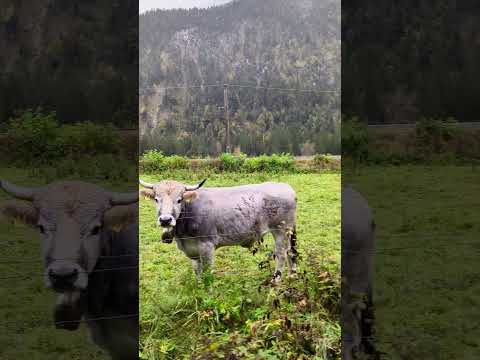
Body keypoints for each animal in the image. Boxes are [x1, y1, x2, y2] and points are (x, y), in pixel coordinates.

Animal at [139, 179, 298, 282]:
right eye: (156, 199)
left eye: (179, 200)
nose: (165, 220)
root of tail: (286, 187)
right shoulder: (192, 251)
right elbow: (197, 273)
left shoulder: (207, 246)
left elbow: (207, 274)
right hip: (288, 232)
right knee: (290, 251)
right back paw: (292, 275)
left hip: (280, 230)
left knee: (281, 254)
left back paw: (276, 281)